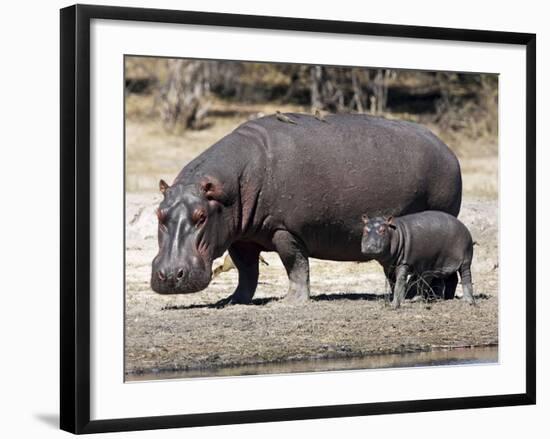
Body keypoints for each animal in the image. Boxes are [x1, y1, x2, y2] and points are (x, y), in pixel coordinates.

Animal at [150, 111, 462, 304]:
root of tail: (447, 149)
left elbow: (296, 265)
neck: (227, 188)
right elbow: (247, 271)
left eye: (201, 216)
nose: (170, 275)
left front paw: (290, 302)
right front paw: (233, 300)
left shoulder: (285, 230)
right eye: (159, 213)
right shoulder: (240, 237)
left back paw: (430, 298)